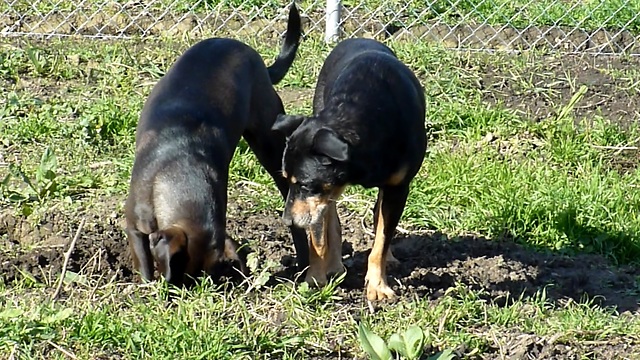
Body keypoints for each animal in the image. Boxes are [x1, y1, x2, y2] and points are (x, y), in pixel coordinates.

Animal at [125, 2, 310, 288]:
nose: (176, 292)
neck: (181, 169)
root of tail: (252, 53)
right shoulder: (134, 225)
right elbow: (143, 261)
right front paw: (145, 285)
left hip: (269, 142)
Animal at [272, 38, 428, 300]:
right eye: (286, 179)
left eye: (304, 184)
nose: (287, 221)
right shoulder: (320, 197)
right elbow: (319, 238)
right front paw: (314, 279)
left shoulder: (398, 188)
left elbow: (382, 238)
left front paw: (377, 286)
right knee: (332, 221)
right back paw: (335, 265)